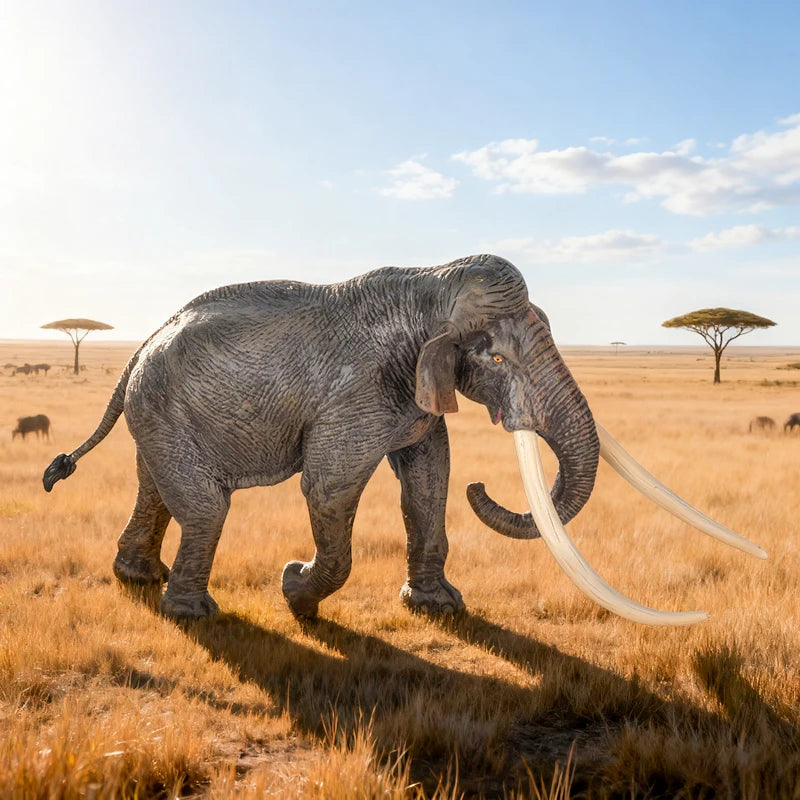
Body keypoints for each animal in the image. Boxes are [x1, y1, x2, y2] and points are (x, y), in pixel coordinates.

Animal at [42, 255, 767, 626]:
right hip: (164, 408)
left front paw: (437, 607)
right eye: (496, 358)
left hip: (161, 411)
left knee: (159, 489)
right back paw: (191, 615)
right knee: (203, 506)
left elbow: (430, 473)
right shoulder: (361, 390)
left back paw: (138, 578)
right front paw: (295, 590)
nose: (487, 485)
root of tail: (141, 344)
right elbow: (330, 484)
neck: (433, 284)